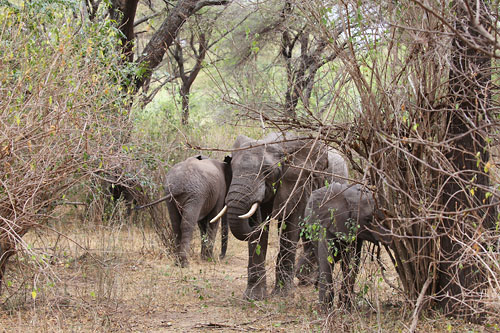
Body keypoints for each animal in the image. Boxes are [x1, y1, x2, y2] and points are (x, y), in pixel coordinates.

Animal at [223, 132, 328, 298]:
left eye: (267, 172)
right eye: (232, 170)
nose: (255, 218)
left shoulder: (298, 183)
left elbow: (290, 226)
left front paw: (282, 295)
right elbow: (259, 237)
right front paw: (254, 297)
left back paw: (310, 281)